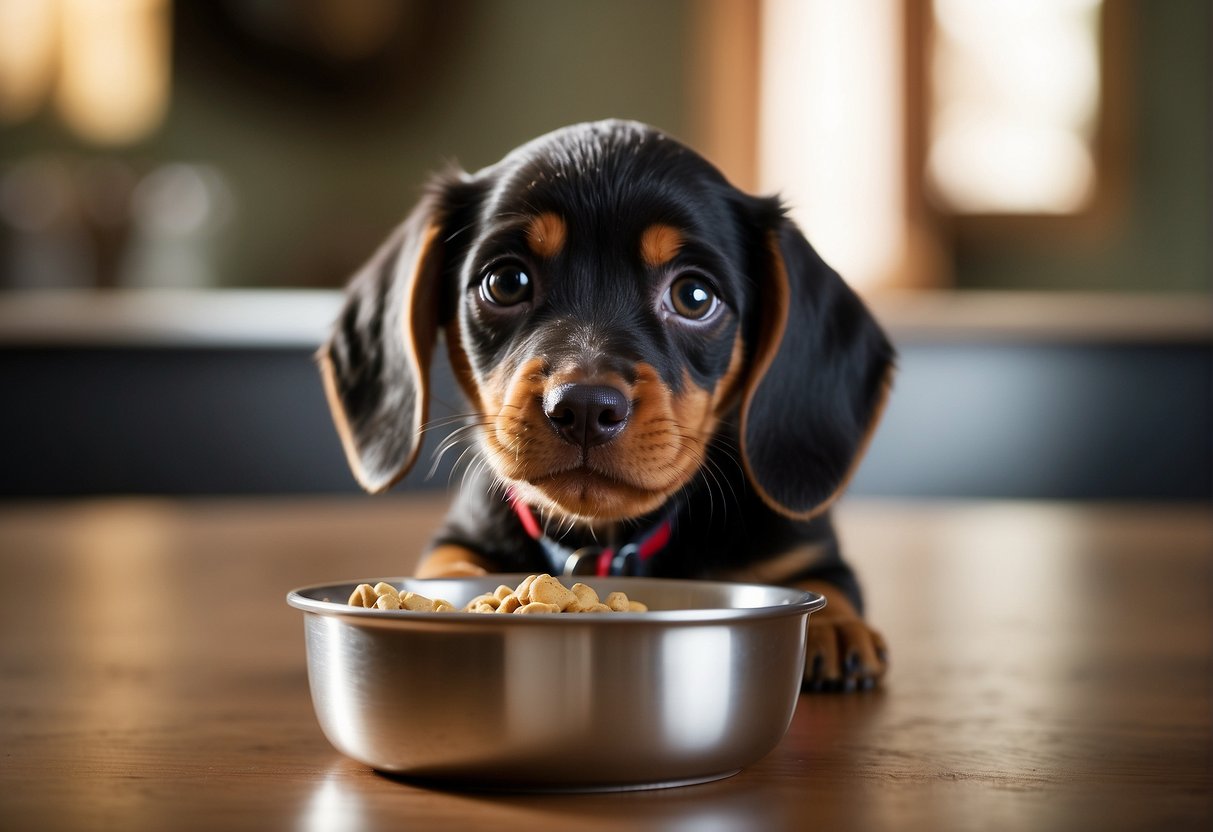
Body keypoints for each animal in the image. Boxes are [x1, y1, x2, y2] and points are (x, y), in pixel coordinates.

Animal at [317, 117, 897, 688]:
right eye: (506, 281)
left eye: (695, 296)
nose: (584, 410)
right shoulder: (459, 536)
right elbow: (450, 565)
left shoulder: (802, 547)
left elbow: (828, 582)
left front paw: (835, 626)